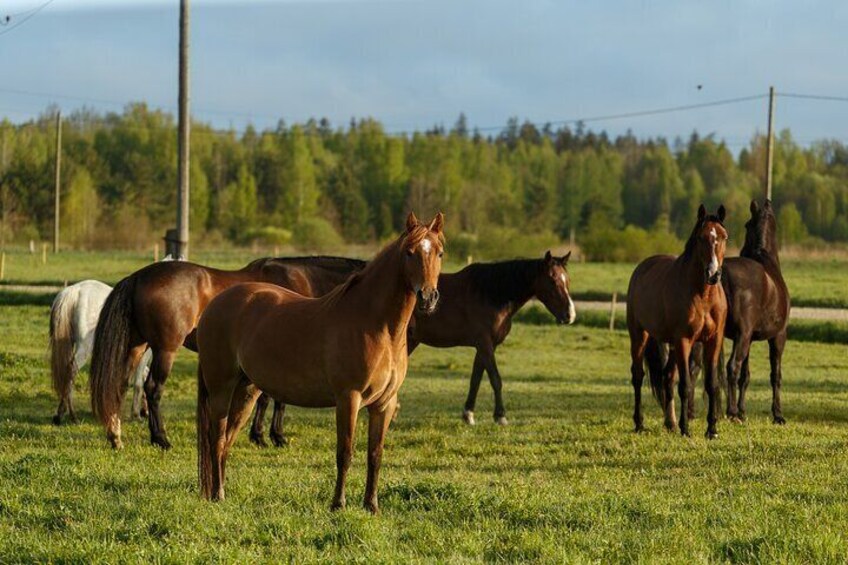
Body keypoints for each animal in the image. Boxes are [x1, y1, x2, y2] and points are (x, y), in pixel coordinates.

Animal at [48, 278, 151, 424]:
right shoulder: (145, 352)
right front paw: (136, 415)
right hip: (84, 348)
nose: (145, 412)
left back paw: (61, 414)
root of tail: (74, 291)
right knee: (71, 370)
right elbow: (138, 382)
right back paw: (71, 414)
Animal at [91, 253, 366, 448]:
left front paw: (262, 435)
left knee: (119, 386)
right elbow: (274, 398)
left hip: (137, 345)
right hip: (165, 349)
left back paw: (115, 437)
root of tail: (139, 276)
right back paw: (161, 438)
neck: (304, 281)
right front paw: (271, 436)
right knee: (153, 389)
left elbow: (269, 397)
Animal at [196, 212, 448, 512]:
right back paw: (217, 494)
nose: (428, 298)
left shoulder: (384, 404)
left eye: (440, 252)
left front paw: (371, 506)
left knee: (227, 442)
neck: (378, 327)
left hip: (246, 391)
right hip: (221, 388)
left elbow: (375, 454)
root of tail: (216, 304)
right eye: (410, 253)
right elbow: (345, 452)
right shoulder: (348, 398)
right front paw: (338, 504)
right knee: (216, 438)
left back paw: (220, 493)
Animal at [628, 203, 728, 436]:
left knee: (667, 376)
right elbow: (685, 385)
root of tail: (642, 268)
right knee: (638, 375)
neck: (703, 295)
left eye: (724, 236)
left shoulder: (713, 340)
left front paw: (711, 429)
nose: (713, 274)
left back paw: (670, 422)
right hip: (639, 335)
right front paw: (686, 429)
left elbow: (711, 384)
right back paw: (640, 423)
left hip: (671, 344)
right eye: (701, 237)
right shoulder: (684, 340)